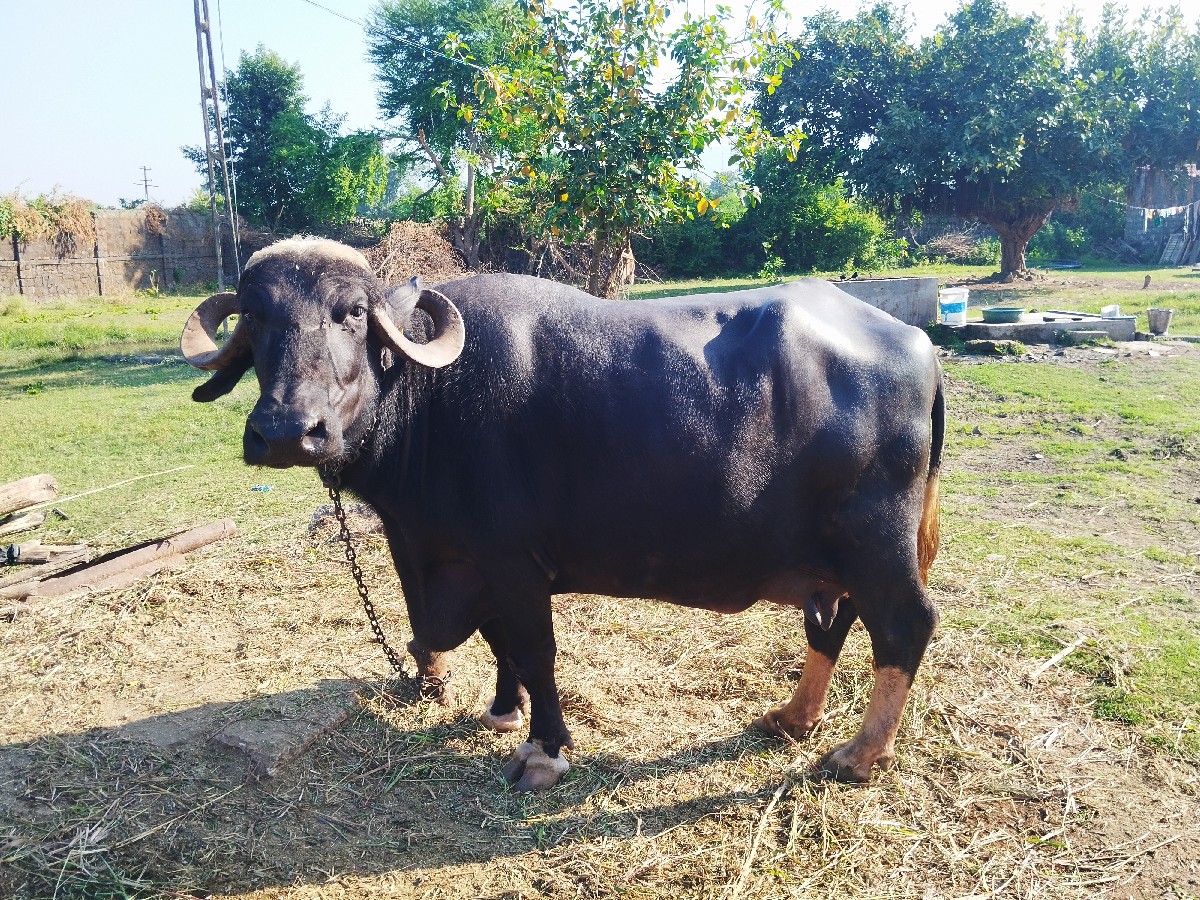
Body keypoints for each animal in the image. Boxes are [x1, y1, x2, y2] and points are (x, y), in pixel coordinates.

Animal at [180, 237, 945, 791]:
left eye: (351, 313)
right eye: (256, 318)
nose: (287, 431)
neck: (429, 402)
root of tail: (918, 344)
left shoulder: (512, 563)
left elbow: (534, 649)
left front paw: (544, 749)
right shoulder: (472, 562)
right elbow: (500, 645)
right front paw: (501, 710)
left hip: (876, 545)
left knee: (904, 626)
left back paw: (858, 753)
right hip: (832, 557)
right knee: (833, 622)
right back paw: (793, 717)